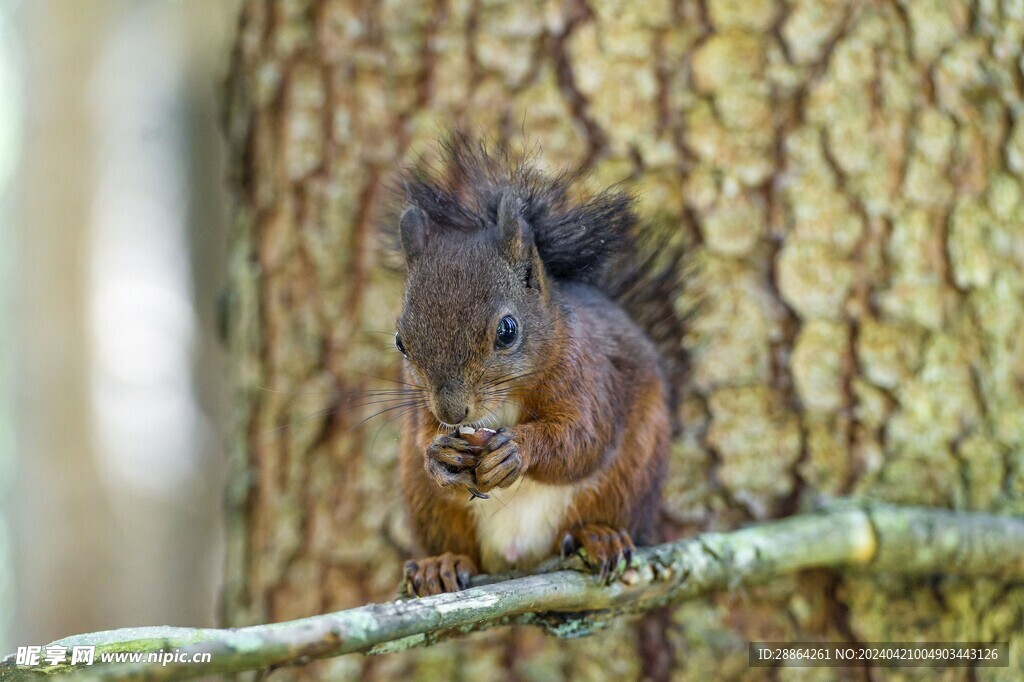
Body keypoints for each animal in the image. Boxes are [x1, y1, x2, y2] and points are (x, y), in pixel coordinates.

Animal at [391, 134, 688, 593]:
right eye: (401, 342)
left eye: (507, 330)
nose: (452, 412)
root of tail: (518, 557)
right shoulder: (420, 405)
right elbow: (426, 436)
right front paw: (440, 455)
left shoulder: (589, 375)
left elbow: (583, 437)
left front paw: (517, 449)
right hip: (428, 507)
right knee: (456, 545)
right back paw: (440, 563)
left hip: (631, 476)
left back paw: (599, 537)